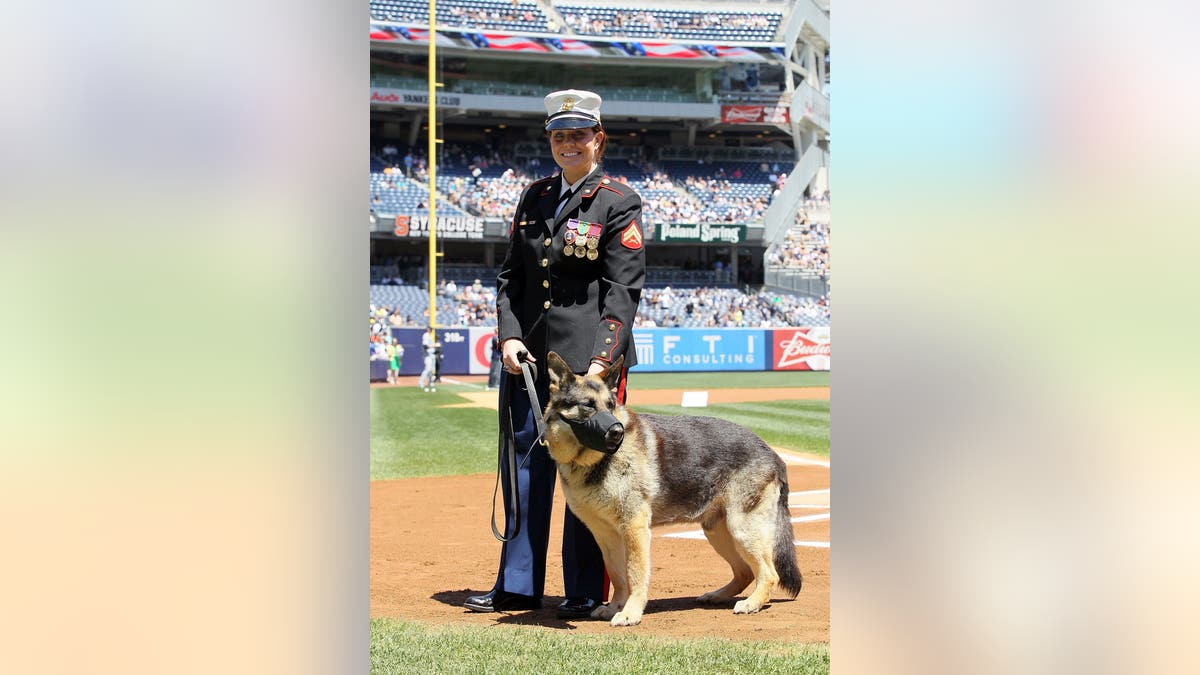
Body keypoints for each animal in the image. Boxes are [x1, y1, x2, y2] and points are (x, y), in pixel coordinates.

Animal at [549, 353, 801, 624]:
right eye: (587, 405)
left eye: (610, 404)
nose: (616, 433)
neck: (591, 460)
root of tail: (773, 454)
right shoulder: (606, 535)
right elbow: (618, 575)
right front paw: (616, 606)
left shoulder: (634, 528)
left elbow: (635, 574)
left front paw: (630, 612)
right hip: (718, 531)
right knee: (745, 572)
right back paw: (718, 596)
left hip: (742, 529)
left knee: (769, 573)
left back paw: (752, 603)